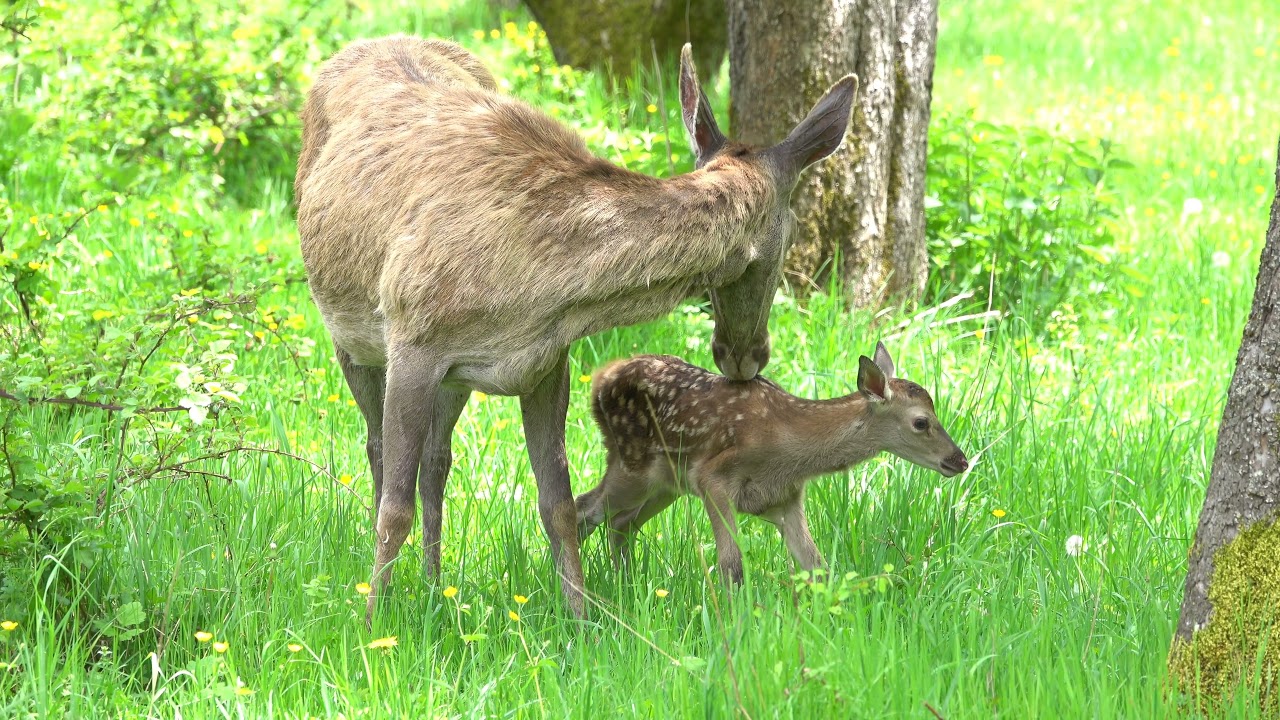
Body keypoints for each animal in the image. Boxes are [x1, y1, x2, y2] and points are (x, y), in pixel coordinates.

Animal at [295, 34, 859, 622]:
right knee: (378, 452)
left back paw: (434, 580)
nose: (745, 355)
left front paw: (581, 616)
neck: (539, 285)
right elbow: (394, 507)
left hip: (455, 381)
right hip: (353, 338)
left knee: (437, 460)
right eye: (789, 239)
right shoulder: (414, 342)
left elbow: (558, 503)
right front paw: (373, 623)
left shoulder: (546, 361)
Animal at [575, 343, 969, 582]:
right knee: (583, 508)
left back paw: (625, 584)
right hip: (633, 464)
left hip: (667, 483)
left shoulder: (785, 499)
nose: (960, 460)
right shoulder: (712, 477)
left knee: (620, 523)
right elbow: (731, 564)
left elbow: (817, 566)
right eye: (921, 422)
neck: (786, 444)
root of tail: (599, 380)